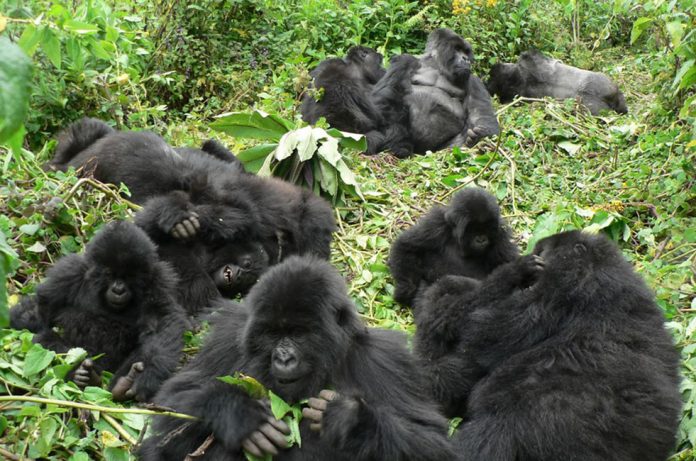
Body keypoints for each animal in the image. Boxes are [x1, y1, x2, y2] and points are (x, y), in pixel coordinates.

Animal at [9, 221, 189, 400]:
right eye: (109, 273)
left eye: (130, 276)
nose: (118, 290)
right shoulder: (67, 273)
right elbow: (40, 312)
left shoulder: (159, 280)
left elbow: (161, 322)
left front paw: (146, 375)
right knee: (45, 341)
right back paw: (82, 376)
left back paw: (124, 382)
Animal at [141, 255, 456, 460]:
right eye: (272, 333)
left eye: (299, 333)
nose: (283, 358)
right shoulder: (229, 336)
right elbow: (169, 405)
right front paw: (238, 412)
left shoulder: (385, 358)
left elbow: (433, 443)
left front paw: (351, 420)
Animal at [388, 187, 520, 310]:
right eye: (473, 229)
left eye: (487, 228)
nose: (481, 239)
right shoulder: (436, 224)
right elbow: (407, 246)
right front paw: (406, 289)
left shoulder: (500, 234)